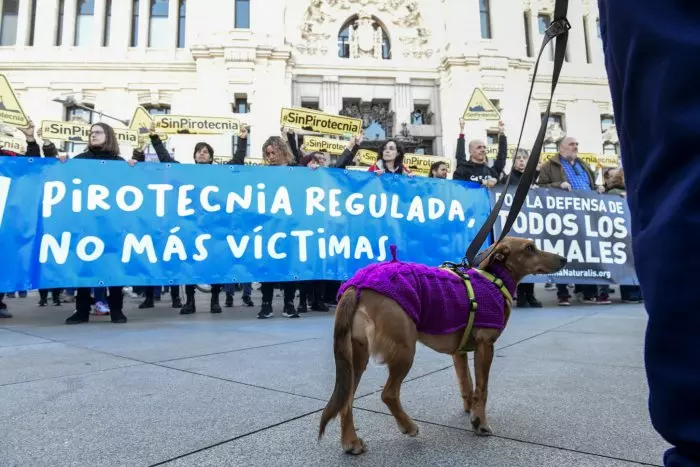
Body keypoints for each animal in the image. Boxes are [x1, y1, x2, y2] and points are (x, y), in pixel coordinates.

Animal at [320, 238, 568, 454]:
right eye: (529, 248)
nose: (564, 258)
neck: (494, 279)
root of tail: (356, 285)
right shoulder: (485, 346)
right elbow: (483, 389)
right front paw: (481, 423)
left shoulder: (459, 354)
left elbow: (468, 385)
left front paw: (471, 411)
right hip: (405, 350)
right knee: (388, 394)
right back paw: (408, 426)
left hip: (355, 360)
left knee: (346, 400)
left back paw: (350, 442)